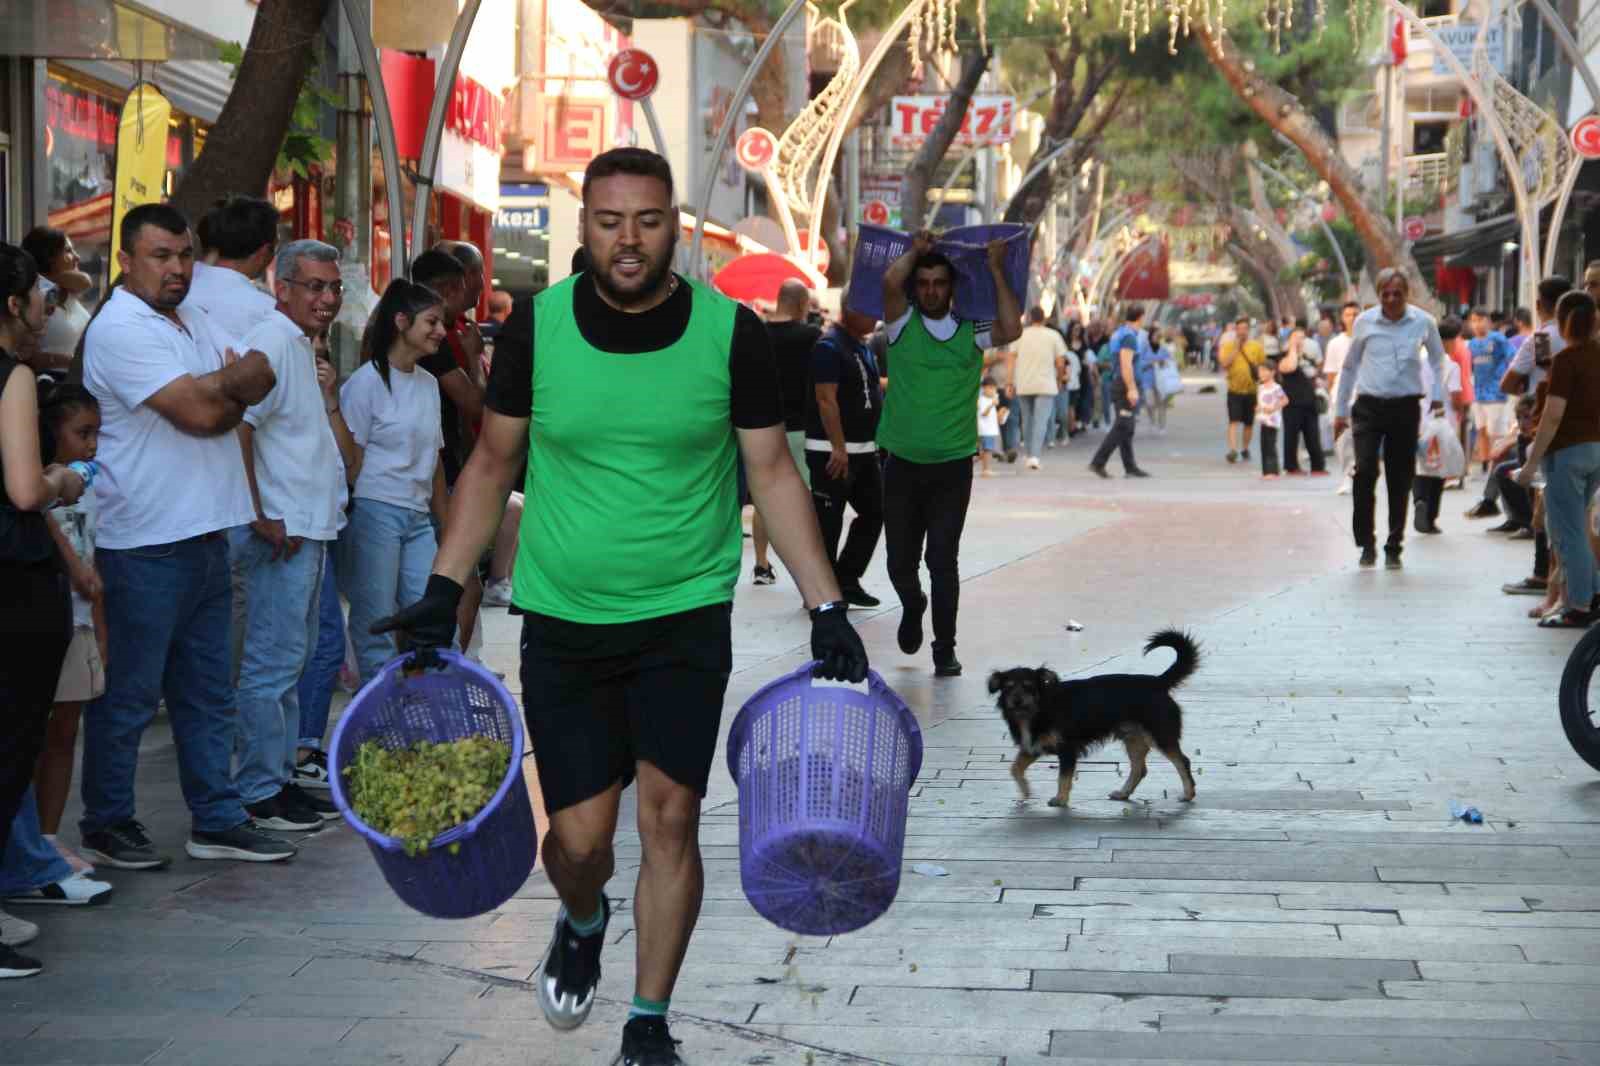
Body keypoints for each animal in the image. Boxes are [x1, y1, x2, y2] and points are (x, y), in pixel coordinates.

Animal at [985, 630, 1203, 806]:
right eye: (1008, 687)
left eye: (1029, 686)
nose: (1016, 701)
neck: (1038, 709)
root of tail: (1158, 682)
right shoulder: (1033, 746)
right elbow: (1015, 768)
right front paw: (1026, 792)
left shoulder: (1067, 749)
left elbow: (1063, 777)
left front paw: (1060, 799)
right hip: (1132, 737)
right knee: (1139, 768)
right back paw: (1124, 793)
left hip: (1160, 734)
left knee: (1182, 761)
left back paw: (1188, 794)